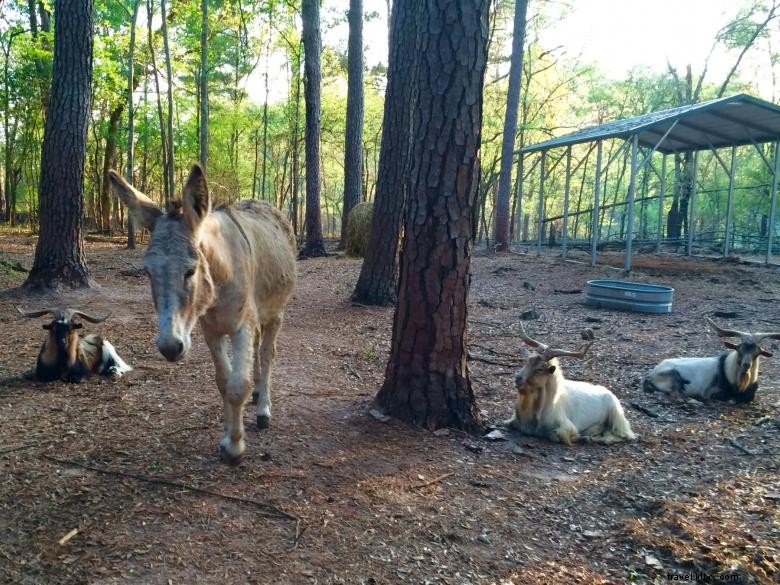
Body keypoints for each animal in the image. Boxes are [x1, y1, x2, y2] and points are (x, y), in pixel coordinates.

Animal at [506, 326, 640, 444]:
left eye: (539, 369)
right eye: (527, 361)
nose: (518, 379)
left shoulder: (567, 427)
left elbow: (554, 436)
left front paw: (578, 437)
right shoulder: (514, 421)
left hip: (616, 415)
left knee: (624, 435)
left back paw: (594, 438)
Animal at [644, 318, 780, 404]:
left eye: (757, 353)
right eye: (739, 349)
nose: (746, 365)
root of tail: (650, 375)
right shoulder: (711, 392)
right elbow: (730, 400)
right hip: (673, 377)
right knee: (677, 396)